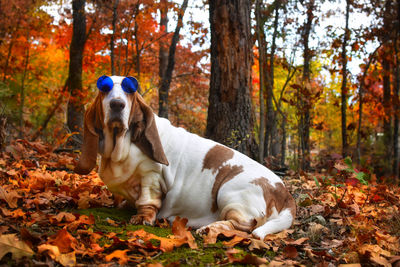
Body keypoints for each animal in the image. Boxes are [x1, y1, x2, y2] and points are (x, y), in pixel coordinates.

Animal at [75, 76, 296, 241]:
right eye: (104, 89)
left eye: (130, 90)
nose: (117, 104)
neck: (124, 144)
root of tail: (284, 193)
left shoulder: (151, 177)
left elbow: (147, 201)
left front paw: (143, 217)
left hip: (229, 194)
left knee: (243, 227)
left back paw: (209, 229)